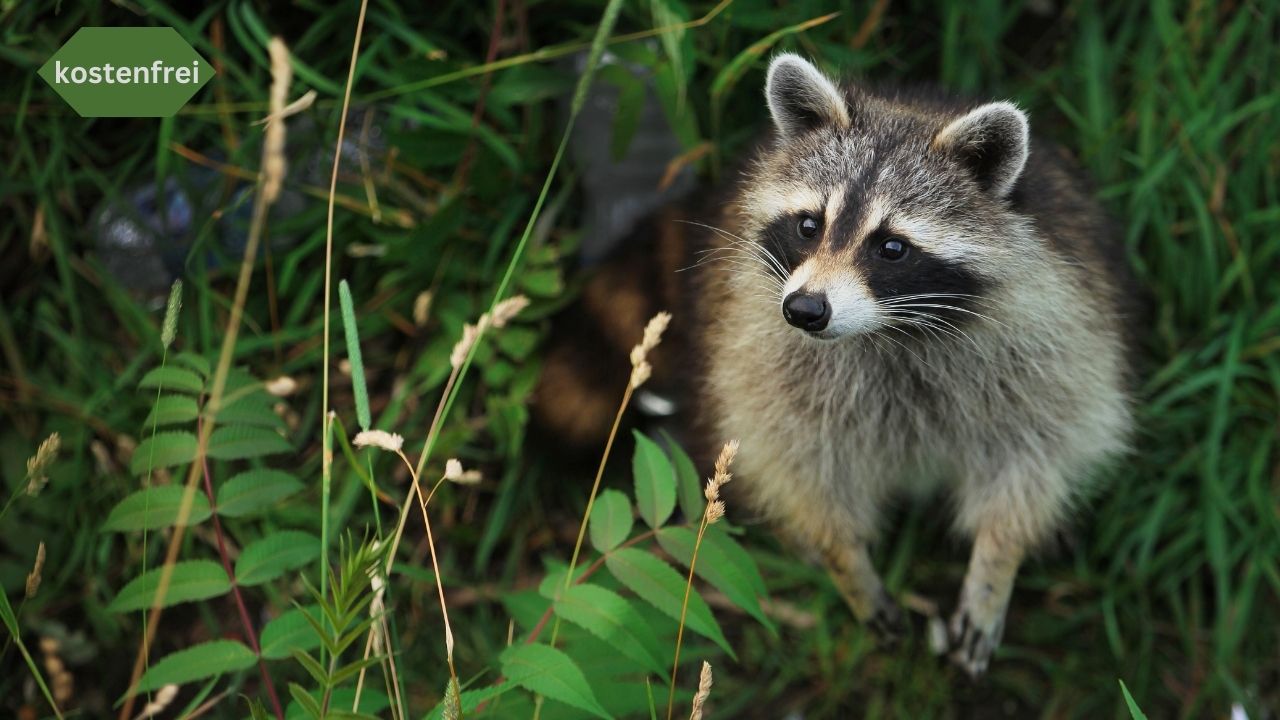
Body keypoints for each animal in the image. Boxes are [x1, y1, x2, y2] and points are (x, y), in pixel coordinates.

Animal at [696, 56, 1136, 671]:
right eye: (809, 225)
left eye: (892, 248)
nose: (805, 310)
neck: (888, 332)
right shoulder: (763, 354)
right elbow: (800, 463)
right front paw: (845, 561)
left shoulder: (1052, 342)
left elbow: (1033, 456)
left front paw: (995, 566)